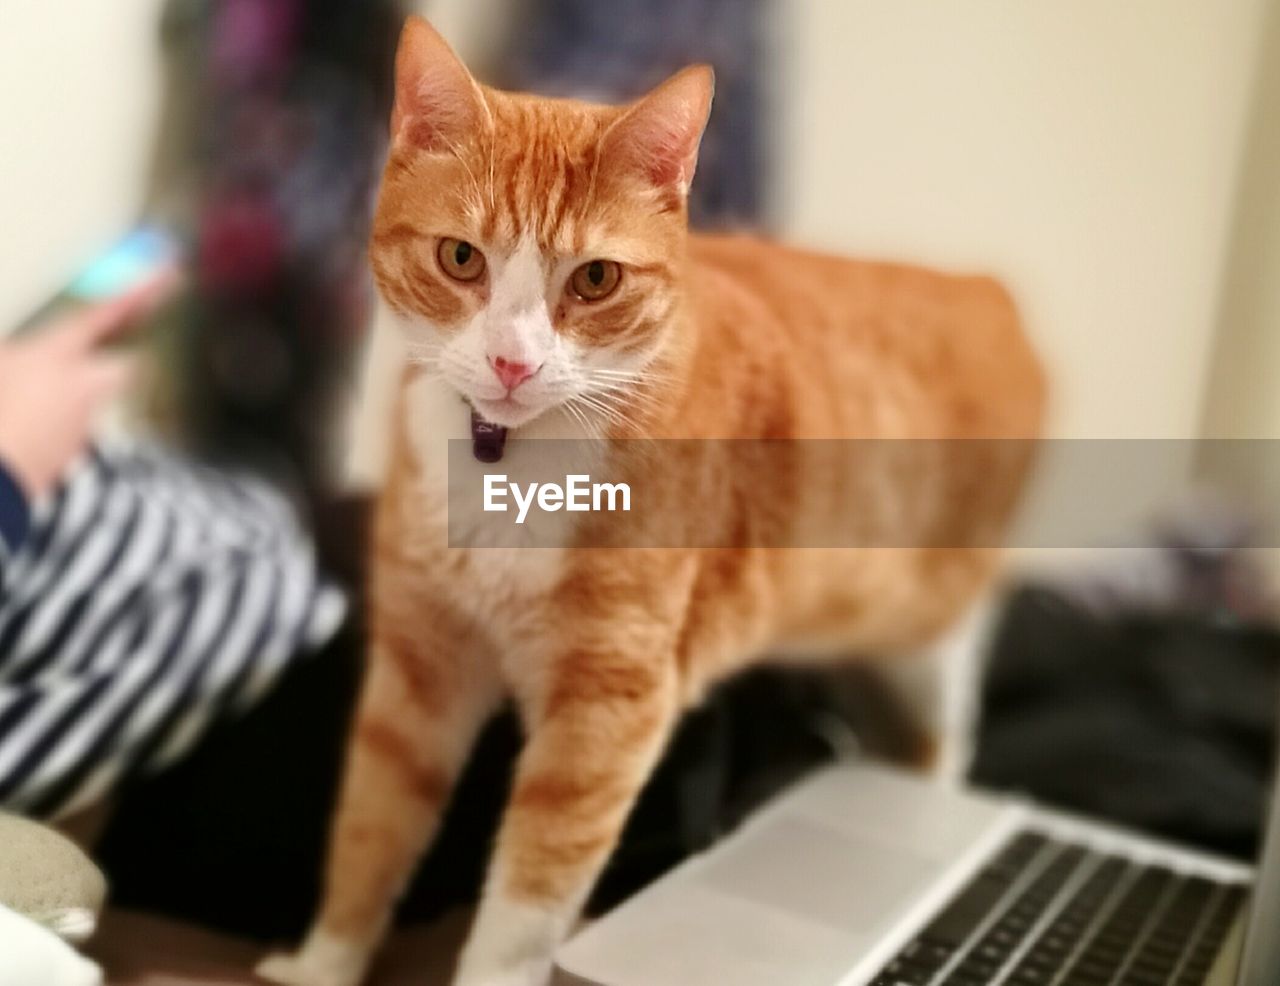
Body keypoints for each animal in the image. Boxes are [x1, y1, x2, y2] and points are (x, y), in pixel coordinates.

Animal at [257, 15, 1039, 983]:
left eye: (595, 279)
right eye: (460, 257)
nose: (513, 362)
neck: (510, 460)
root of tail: (982, 287)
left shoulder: (608, 706)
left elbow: (528, 896)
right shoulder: (421, 662)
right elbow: (372, 829)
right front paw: (322, 963)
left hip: (928, 642)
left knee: (937, 743)